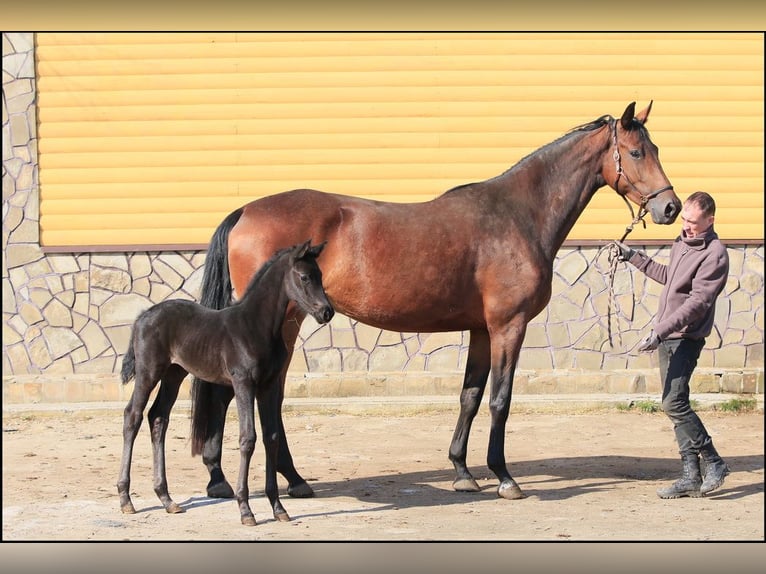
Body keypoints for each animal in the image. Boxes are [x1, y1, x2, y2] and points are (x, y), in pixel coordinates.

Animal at [118, 240, 334, 528]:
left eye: (320, 275)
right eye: (304, 277)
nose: (326, 312)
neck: (256, 326)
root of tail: (143, 316)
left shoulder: (267, 386)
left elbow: (271, 437)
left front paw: (278, 508)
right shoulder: (242, 382)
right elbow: (248, 438)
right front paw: (245, 510)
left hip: (174, 374)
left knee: (158, 417)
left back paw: (167, 499)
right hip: (148, 371)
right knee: (133, 416)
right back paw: (125, 499)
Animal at [189, 102, 680, 504]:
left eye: (655, 147)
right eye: (637, 152)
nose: (671, 208)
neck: (518, 215)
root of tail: (246, 212)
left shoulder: (482, 329)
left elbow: (470, 396)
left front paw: (463, 470)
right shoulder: (508, 326)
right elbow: (500, 399)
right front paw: (504, 478)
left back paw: (258, 478)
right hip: (280, 324)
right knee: (256, 395)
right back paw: (262, 479)